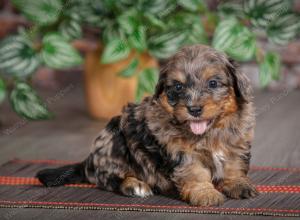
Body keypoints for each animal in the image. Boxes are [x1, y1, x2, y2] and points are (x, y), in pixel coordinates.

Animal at [37, 44, 258, 206]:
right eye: (178, 87)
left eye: (213, 83)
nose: (194, 109)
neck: (209, 133)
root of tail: (88, 162)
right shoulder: (182, 153)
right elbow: (195, 172)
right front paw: (205, 194)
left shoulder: (237, 142)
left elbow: (233, 165)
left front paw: (238, 184)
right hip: (114, 138)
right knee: (110, 178)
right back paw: (135, 185)